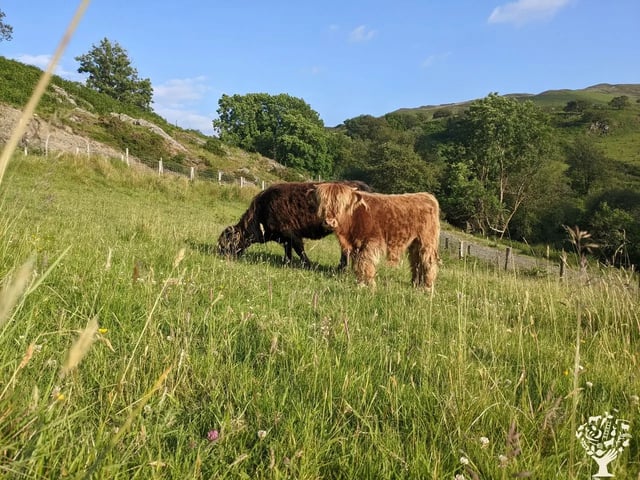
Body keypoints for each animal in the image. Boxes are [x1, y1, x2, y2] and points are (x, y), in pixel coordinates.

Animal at [217, 180, 372, 269]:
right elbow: (288, 252)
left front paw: (308, 265)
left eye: (227, 242)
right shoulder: (285, 238)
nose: (220, 253)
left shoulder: (292, 234)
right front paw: (287, 264)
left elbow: (300, 251)